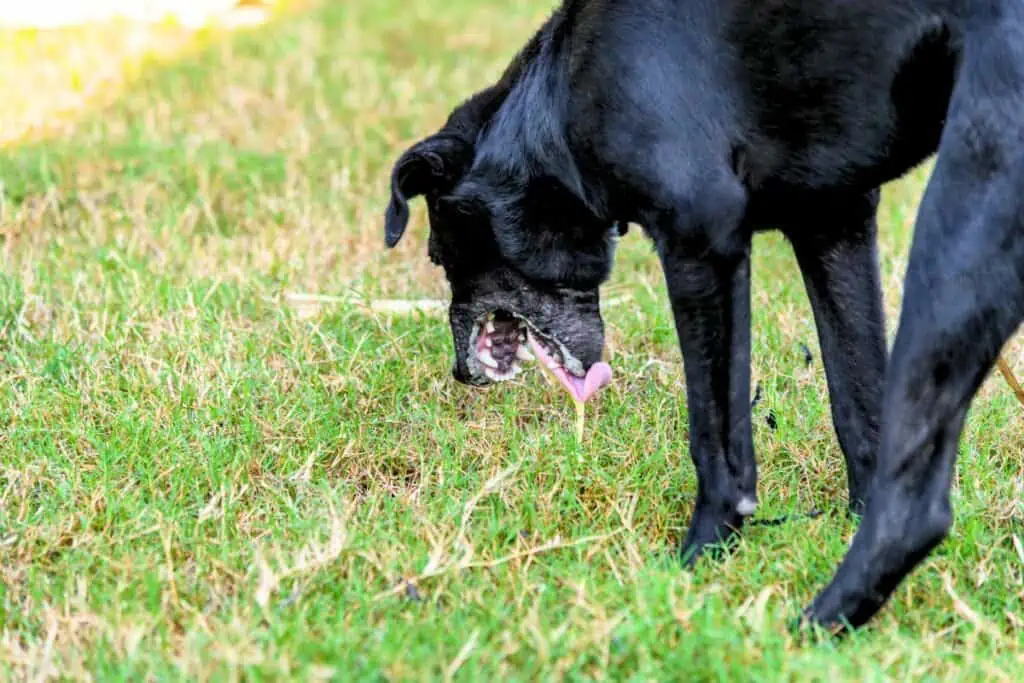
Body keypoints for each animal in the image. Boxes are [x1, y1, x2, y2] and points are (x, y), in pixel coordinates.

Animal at [382, 0, 1024, 634]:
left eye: (439, 254)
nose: (460, 373)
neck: (556, 102)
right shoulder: (832, 221)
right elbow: (859, 408)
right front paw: (846, 519)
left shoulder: (701, 240)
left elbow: (716, 437)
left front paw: (699, 558)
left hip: (962, 216)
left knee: (917, 507)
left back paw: (812, 626)